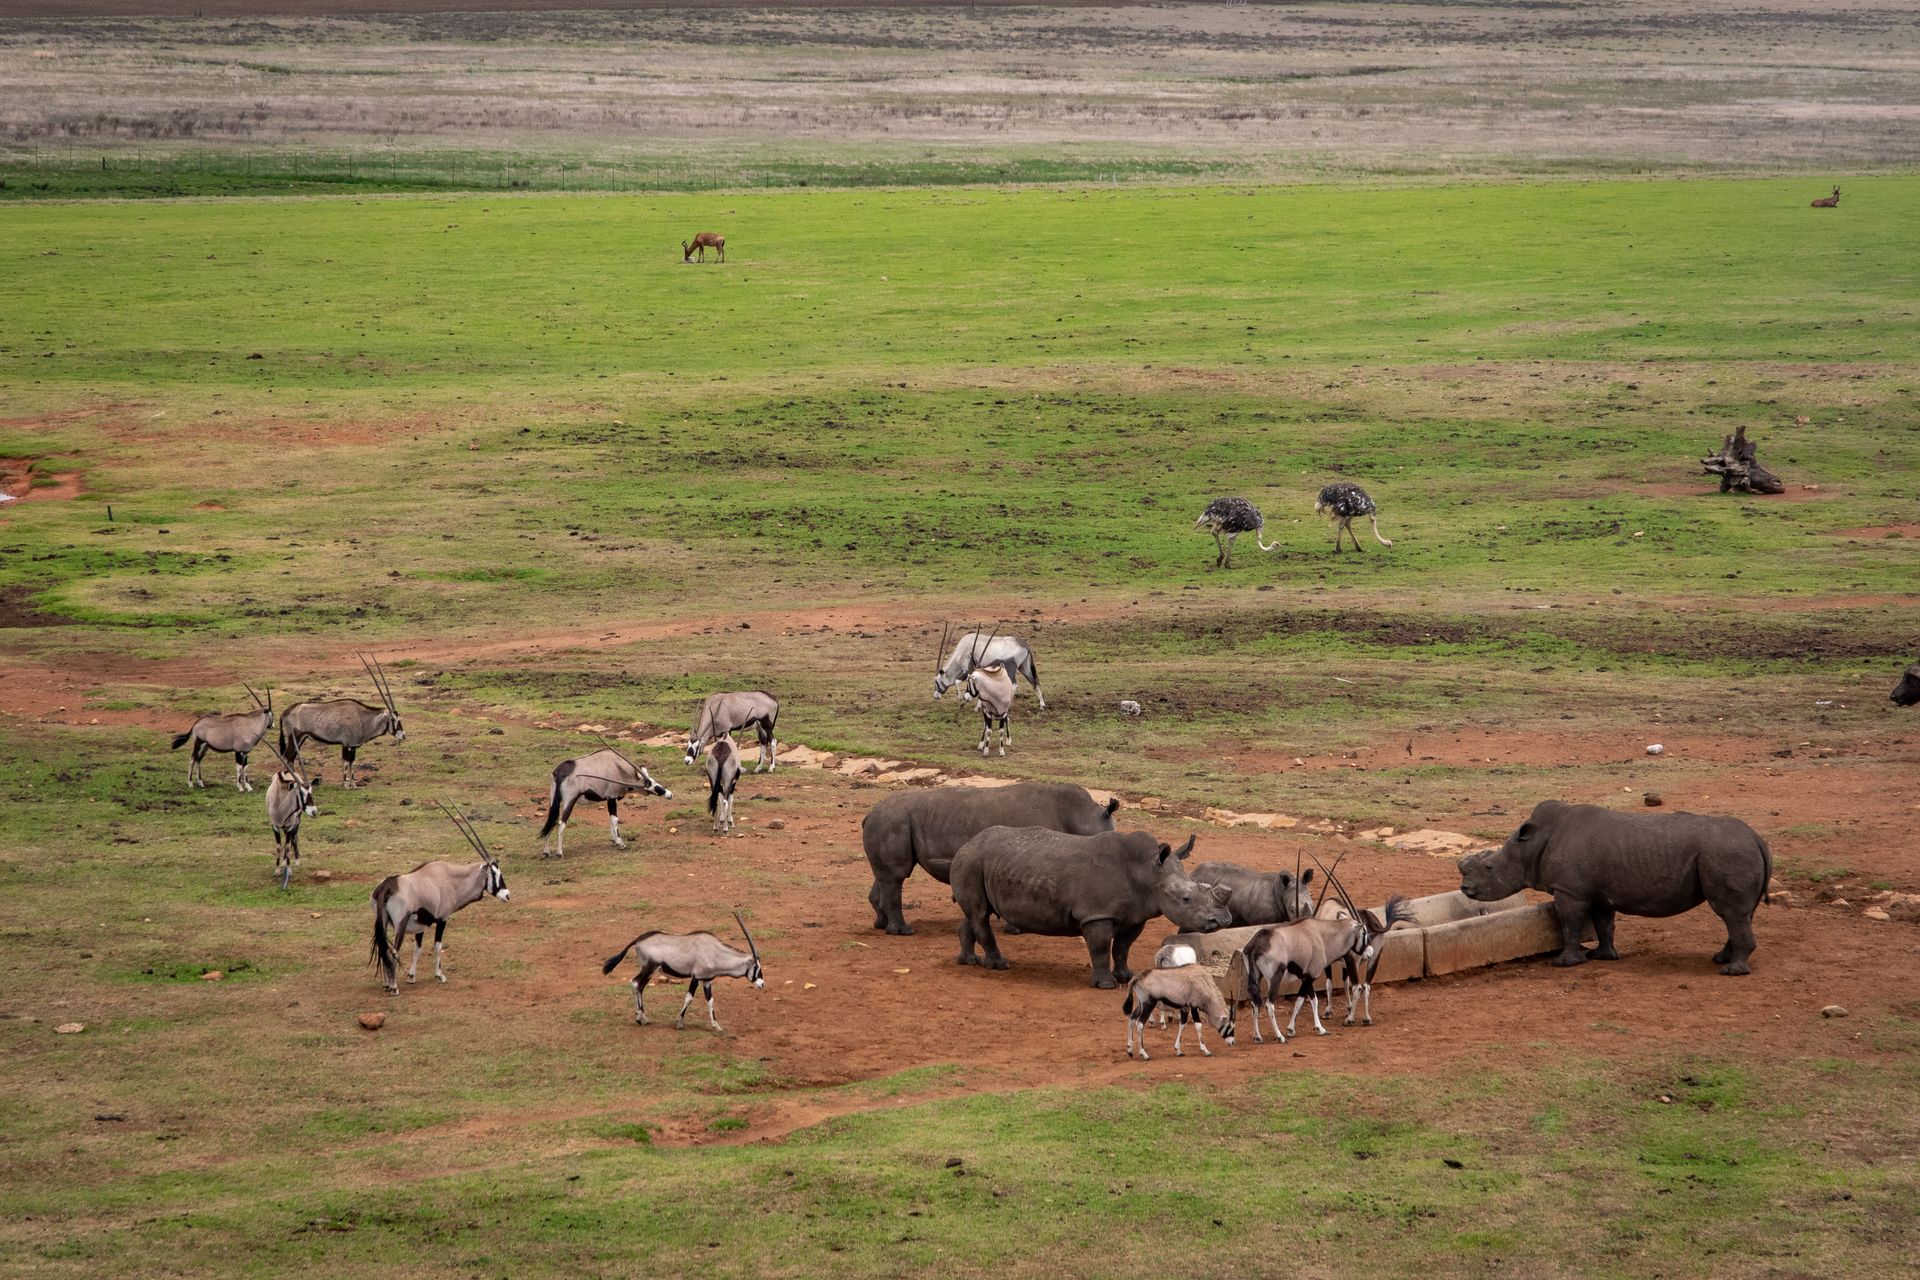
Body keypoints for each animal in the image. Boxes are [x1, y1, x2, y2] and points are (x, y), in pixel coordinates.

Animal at [862, 782, 1120, 935]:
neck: (1084, 818)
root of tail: (869, 814)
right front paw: (1015, 929)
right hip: (893, 820)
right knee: (897, 876)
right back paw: (902, 931)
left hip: (891, 820)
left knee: (886, 876)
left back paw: (881, 925)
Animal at [949, 828, 1233, 988]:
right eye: (1186, 899)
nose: (1219, 922)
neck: (1148, 873)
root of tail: (967, 843)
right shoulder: (1097, 915)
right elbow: (1100, 948)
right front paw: (1106, 985)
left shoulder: (1135, 915)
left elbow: (1122, 947)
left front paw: (1125, 976)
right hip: (972, 860)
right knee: (979, 913)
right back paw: (998, 965)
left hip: (979, 862)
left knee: (975, 912)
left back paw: (968, 961)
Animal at [1457, 800, 1772, 975]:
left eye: (1489, 868)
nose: (1465, 889)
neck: (1531, 846)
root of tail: (1757, 838)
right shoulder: (1597, 892)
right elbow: (1603, 923)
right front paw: (1603, 957)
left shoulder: (1570, 890)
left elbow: (1569, 922)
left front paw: (1565, 963)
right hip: (1733, 853)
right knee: (1739, 914)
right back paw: (1721, 960)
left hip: (1726, 854)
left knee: (1730, 912)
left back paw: (1731, 972)